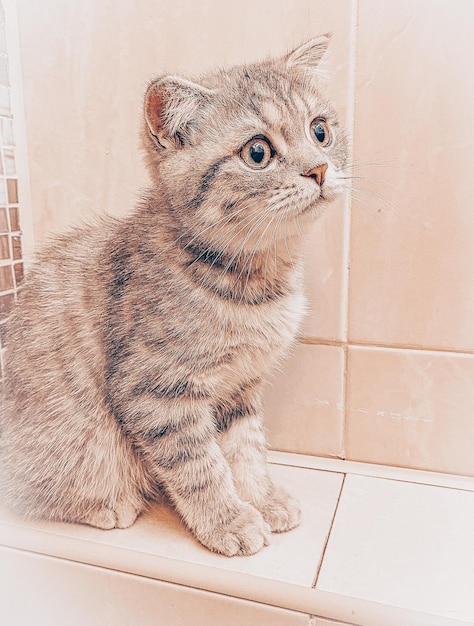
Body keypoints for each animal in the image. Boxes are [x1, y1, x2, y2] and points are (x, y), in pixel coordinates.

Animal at [0, 34, 348, 552]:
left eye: (320, 131)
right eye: (258, 153)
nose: (320, 169)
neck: (254, 282)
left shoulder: (241, 387)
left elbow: (245, 447)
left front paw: (262, 497)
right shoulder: (156, 390)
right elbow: (200, 465)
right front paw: (228, 520)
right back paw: (106, 505)